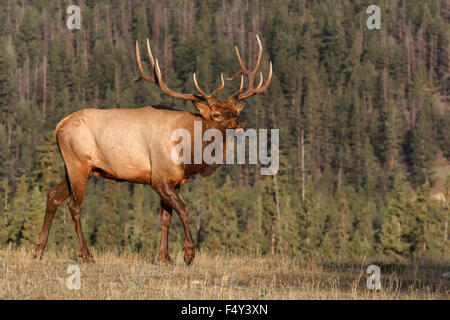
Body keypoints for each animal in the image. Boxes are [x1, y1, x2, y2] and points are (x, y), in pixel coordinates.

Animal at [33, 35, 272, 264]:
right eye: (217, 114)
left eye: (234, 110)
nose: (241, 121)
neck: (189, 155)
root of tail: (59, 126)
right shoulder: (159, 178)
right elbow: (183, 210)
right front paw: (188, 254)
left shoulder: (175, 182)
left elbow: (166, 218)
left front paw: (164, 257)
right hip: (79, 164)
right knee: (74, 206)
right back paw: (87, 255)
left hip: (76, 168)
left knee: (53, 196)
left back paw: (39, 250)